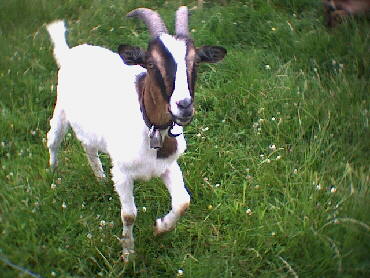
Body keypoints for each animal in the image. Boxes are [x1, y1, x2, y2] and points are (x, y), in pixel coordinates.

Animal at [46, 5, 225, 260]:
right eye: (150, 64)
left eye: (196, 62)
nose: (184, 105)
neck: (150, 126)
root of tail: (70, 53)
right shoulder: (122, 173)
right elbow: (129, 215)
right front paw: (128, 254)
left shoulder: (168, 165)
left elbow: (183, 202)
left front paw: (160, 228)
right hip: (61, 108)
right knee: (53, 139)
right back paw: (53, 175)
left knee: (89, 147)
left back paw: (100, 178)